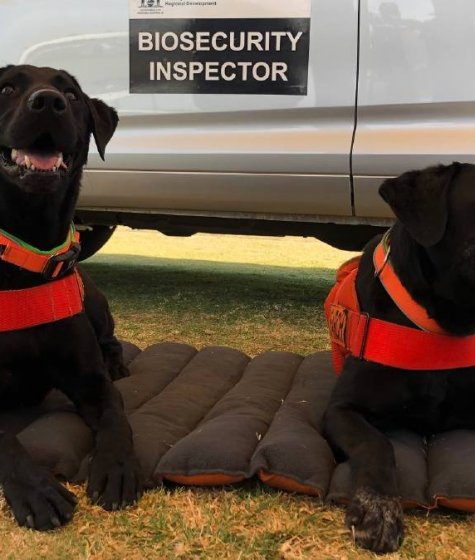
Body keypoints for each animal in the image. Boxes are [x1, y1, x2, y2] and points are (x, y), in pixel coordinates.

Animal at [0, 64, 141, 528]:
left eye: (73, 95)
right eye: (7, 88)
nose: (48, 102)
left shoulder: (90, 382)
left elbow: (116, 418)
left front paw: (117, 468)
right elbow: (6, 442)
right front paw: (36, 489)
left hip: (93, 299)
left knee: (110, 339)